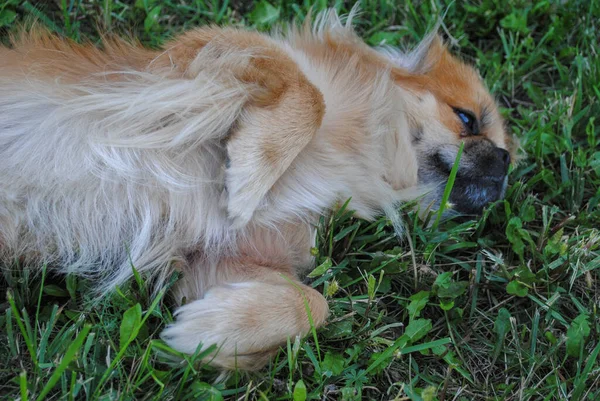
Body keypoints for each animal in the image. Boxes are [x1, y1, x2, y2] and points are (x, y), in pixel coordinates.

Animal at [0, 10, 516, 368]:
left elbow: (315, 303)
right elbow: (308, 93)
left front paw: (212, 332)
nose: (506, 162)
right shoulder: (195, 59)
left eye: (504, 148)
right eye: (466, 119)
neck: (360, 153)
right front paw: (251, 177)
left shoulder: (213, 261)